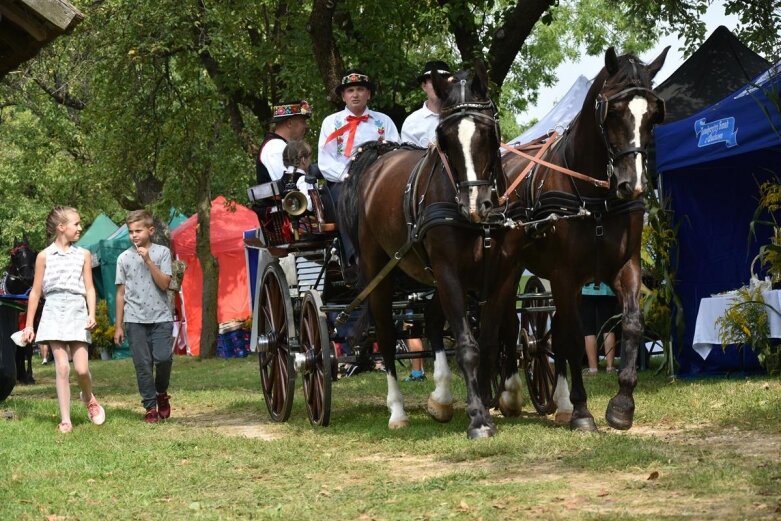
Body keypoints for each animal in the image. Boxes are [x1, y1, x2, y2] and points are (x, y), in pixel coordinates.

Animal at [336, 66, 506, 438]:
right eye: (445, 138)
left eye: (488, 132)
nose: (476, 204)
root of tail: (379, 156)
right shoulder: (448, 272)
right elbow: (467, 345)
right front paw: (478, 419)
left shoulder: (496, 275)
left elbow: (488, 342)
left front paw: (486, 404)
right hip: (380, 273)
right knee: (386, 336)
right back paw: (397, 411)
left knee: (429, 321)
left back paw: (440, 398)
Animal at [484, 47, 668, 430]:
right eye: (613, 111)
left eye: (652, 115)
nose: (633, 184)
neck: (594, 197)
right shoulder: (564, 275)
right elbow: (571, 336)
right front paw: (582, 410)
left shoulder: (625, 267)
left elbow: (631, 324)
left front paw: (621, 405)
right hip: (500, 269)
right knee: (491, 324)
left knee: (511, 325)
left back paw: (521, 394)